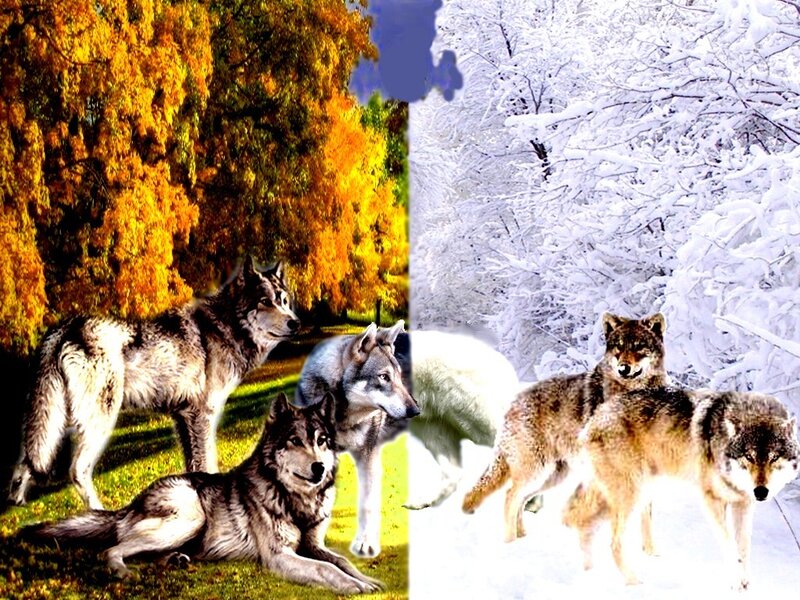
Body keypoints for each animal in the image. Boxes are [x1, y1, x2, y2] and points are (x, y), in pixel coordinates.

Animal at [8, 259, 299, 510]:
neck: (225, 326)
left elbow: (194, 466)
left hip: (56, 421)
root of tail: (65, 328)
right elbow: (207, 464)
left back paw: (18, 503)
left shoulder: (184, 418)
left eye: (284, 301)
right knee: (76, 470)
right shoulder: (203, 416)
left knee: (26, 460)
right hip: (99, 421)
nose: (295, 322)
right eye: (265, 301)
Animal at [25, 393, 383, 594]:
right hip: (189, 518)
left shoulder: (314, 546)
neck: (295, 500)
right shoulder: (280, 556)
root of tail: (131, 503)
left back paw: (176, 560)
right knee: (112, 549)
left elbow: (340, 561)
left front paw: (367, 579)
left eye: (322, 441)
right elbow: (326, 569)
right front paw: (355, 587)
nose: (320, 468)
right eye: (294, 440)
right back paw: (124, 572)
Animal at [294, 320, 419, 558]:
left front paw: (365, 543)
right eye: (384, 377)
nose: (416, 410)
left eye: (398, 376)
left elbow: (367, 504)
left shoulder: (368, 458)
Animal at [462, 312, 668, 543]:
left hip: (551, 477)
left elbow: (645, 520)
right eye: (619, 347)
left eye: (639, 346)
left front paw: (648, 552)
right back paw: (511, 542)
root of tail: (514, 401)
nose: (623, 368)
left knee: (522, 500)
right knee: (510, 497)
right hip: (535, 471)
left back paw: (523, 538)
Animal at [562, 388, 800, 590]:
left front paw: (745, 584)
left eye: (774, 457)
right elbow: (730, 545)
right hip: (631, 497)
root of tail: (595, 417)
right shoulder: (712, 500)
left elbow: (744, 547)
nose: (761, 492)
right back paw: (634, 584)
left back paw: (589, 574)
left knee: (581, 523)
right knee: (613, 543)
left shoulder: (743, 503)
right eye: (749, 457)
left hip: (635, 496)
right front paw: (735, 583)